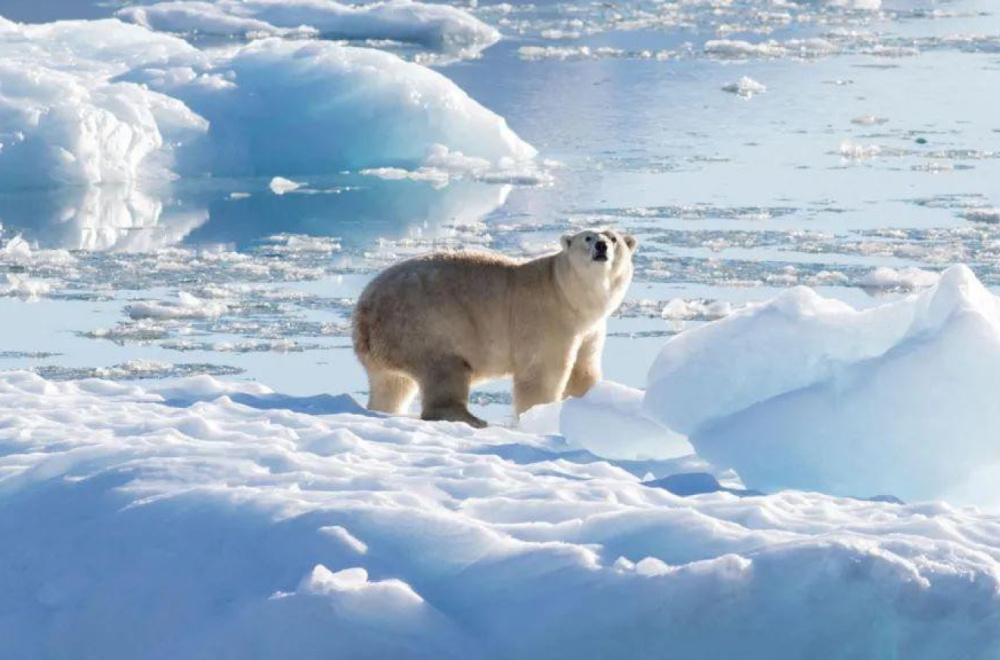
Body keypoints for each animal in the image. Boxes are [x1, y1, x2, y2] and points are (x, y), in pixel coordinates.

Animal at [352, 228, 632, 428]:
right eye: (588, 236)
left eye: (614, 238)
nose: (601, 246)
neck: (567, 294)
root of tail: (364, 310)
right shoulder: (546, 318)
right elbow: (542, 373)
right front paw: (539, 416)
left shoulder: (590, 329)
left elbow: (583, 371)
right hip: (426, 323)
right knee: (444, 370)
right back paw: (472, 419)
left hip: (389, 343)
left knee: (391, 384)